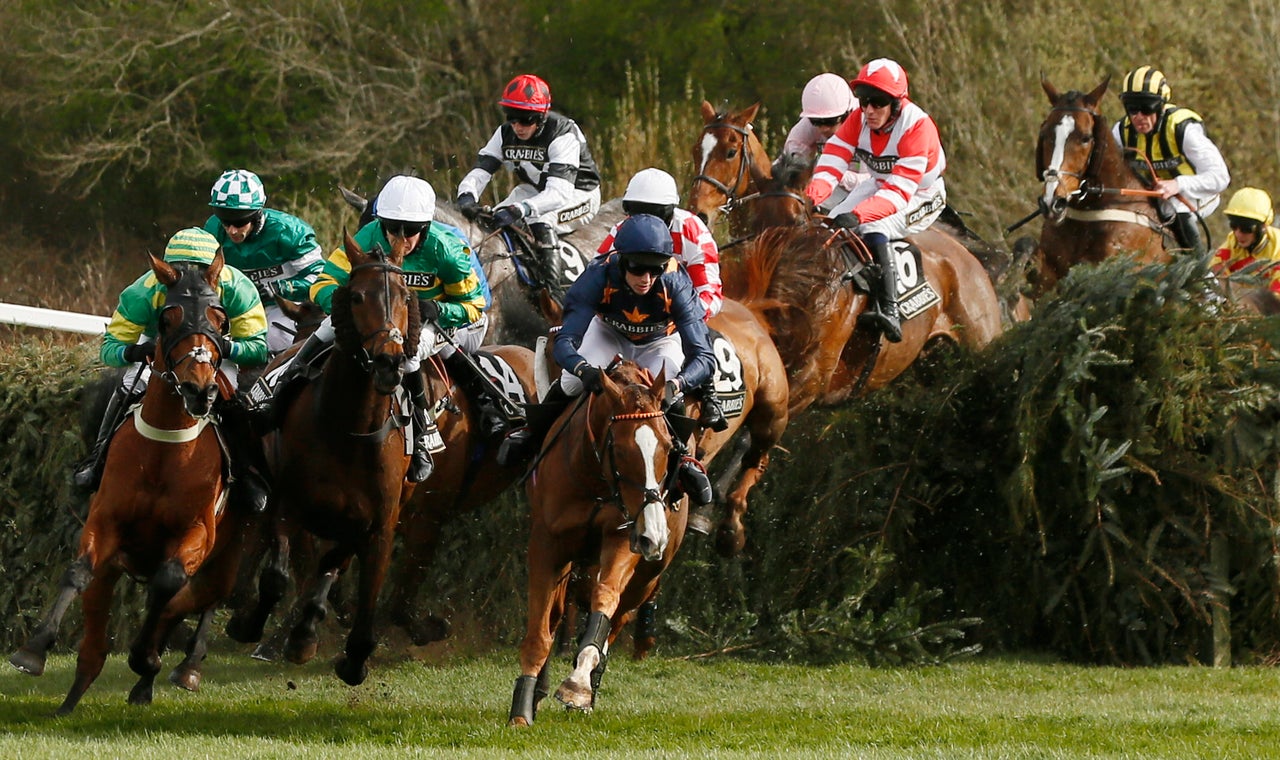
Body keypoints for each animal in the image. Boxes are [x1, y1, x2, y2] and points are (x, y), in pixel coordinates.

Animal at [11, 249, 247, 716]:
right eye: (167, 317)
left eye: (219, 317)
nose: (199, 390)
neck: (165, 450)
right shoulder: (105, 521)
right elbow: (78, 571)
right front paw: (33, 649)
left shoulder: (198, 531)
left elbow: (168, 584)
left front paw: (147, 659)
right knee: (95, 643)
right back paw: (71, 702)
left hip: (230, 552)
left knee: (203, 597)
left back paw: (182, 668)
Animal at [225, 227, 414, 685]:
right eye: (358, 296)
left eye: (405, 295)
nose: (389, 362)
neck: (351, 428)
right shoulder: (289, 504)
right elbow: (278, 575)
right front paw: (250, 624)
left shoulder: (380, 523)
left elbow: (352, 581)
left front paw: (347, 652)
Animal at [509, 360, 691, 721]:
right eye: (620, 449)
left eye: (668, 447)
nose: (655, 534)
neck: (593, 475)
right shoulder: (547, 544)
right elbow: (540, 630)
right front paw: (521, 710)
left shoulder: (623, 535)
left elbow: (604, 600)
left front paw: (578, 686)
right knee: (556, 615)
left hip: (645, 580)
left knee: (617, 617)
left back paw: (590, 684)